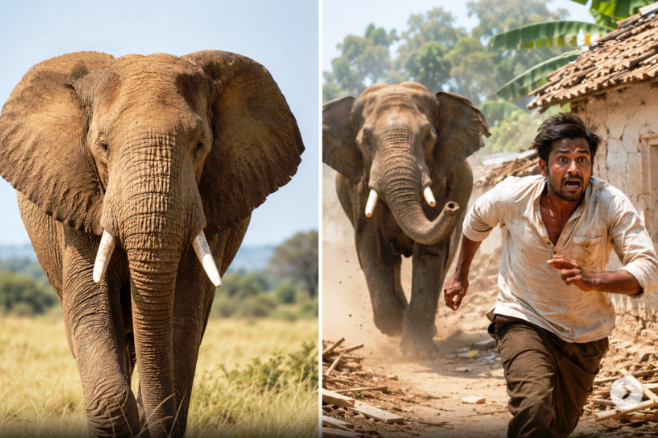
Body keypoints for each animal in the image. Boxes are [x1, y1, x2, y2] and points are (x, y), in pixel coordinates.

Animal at [0, 50, 304, 437]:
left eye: (199, 146)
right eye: (103, 146)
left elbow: (183, 318)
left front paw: (154, 418)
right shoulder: (77, 205)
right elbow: (91, 310)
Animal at [322, 82, 489, 359]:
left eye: (428, 138)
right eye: (365, 141)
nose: (451, 206)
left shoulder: (442, 180)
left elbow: (430, 253)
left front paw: (417, 353)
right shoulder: (360, 189)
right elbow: (373, 249)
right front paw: (394, 329)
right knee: (393, 261)